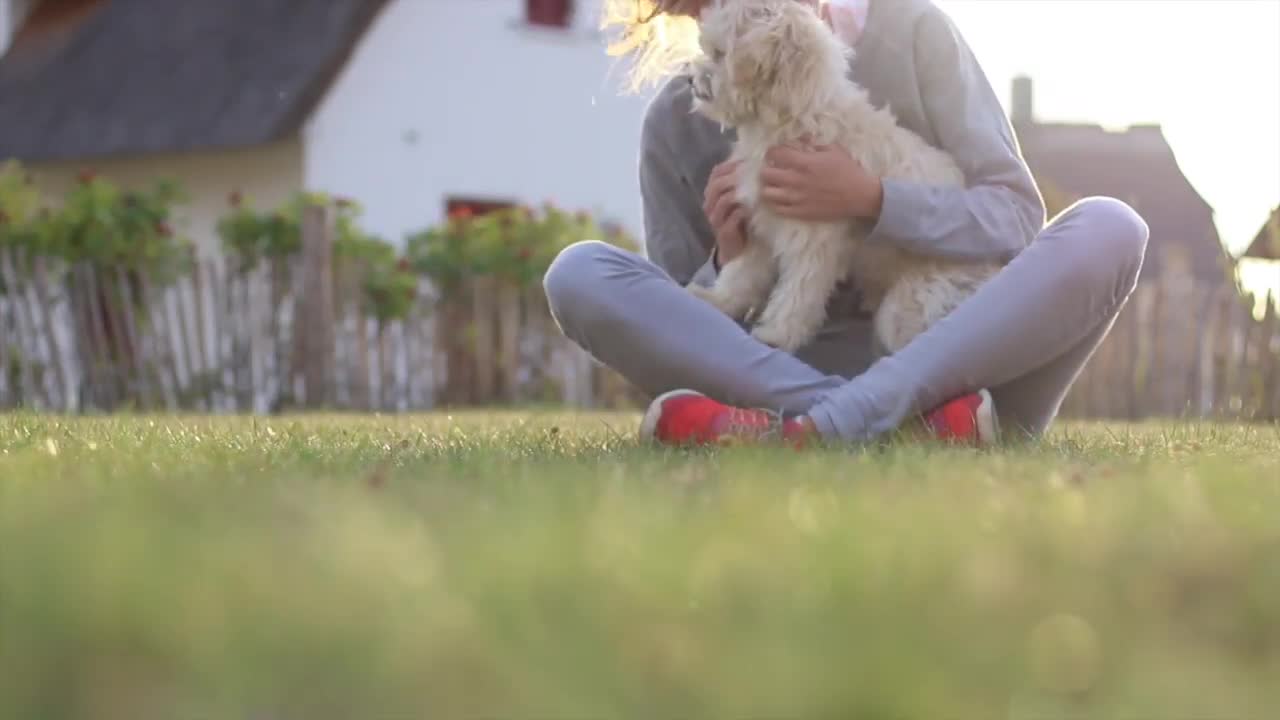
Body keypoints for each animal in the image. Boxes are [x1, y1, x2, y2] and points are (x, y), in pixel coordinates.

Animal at [691, 0, 998, 353]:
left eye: (719, 53)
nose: (691, 80)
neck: (795, 116)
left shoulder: (813, 236)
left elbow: (799, 292)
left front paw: (778, 334)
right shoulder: (759, 223)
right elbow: (741, 273)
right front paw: (717, 301)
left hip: (911, 305)